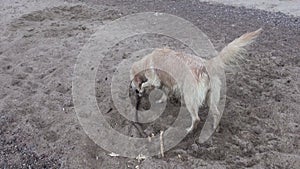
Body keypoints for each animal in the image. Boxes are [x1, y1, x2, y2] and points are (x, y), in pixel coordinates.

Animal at [130, 28, 262, 133]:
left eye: (131, 81)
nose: (132, 89)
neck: (146, 61)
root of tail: (206, 65)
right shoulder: (168, 84)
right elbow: (165, 93)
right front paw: (161, 100)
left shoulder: (154, 79)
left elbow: (147, 84)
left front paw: (141, 89)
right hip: (211, 97)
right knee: (216, 113)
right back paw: (214, 128)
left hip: (190, 98)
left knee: (196, 118)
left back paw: (189, 130)